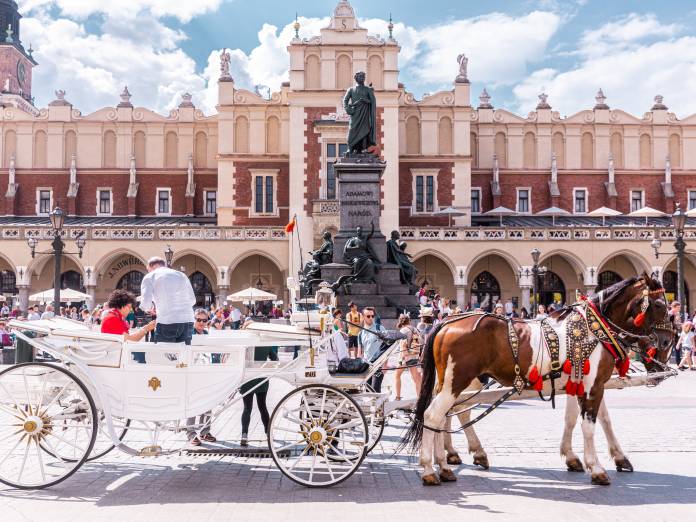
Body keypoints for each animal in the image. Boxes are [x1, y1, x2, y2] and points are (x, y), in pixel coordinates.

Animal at [406, 274, 672, 482]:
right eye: (660, 305)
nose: (668, 343)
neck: (594, 330)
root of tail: (446, 323)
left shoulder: (581, 384)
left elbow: (584, 419)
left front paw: (591, 457)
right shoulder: (593, 386)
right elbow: (589, 424)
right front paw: (596, 468)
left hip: (452, 382)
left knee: (446, 415)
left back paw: (445, 464)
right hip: (457, 380)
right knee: (435, 415)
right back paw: (431, 469)